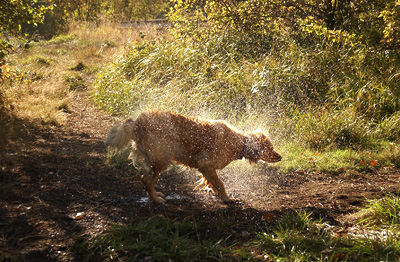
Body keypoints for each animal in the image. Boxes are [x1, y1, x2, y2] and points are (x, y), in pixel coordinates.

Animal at [106, 110, 282, 203]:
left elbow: (212, 182)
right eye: (270, 148)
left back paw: (156, 195)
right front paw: (226, 198)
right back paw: (156, 199)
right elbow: (220, 183)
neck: (237, 142)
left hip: (158, 160)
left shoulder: (204, 167)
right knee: (147, 179)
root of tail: (136, 123)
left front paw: (216, 193)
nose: (280, 157)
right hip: (163, 159)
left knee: (145, 178)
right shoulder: (206, 164)